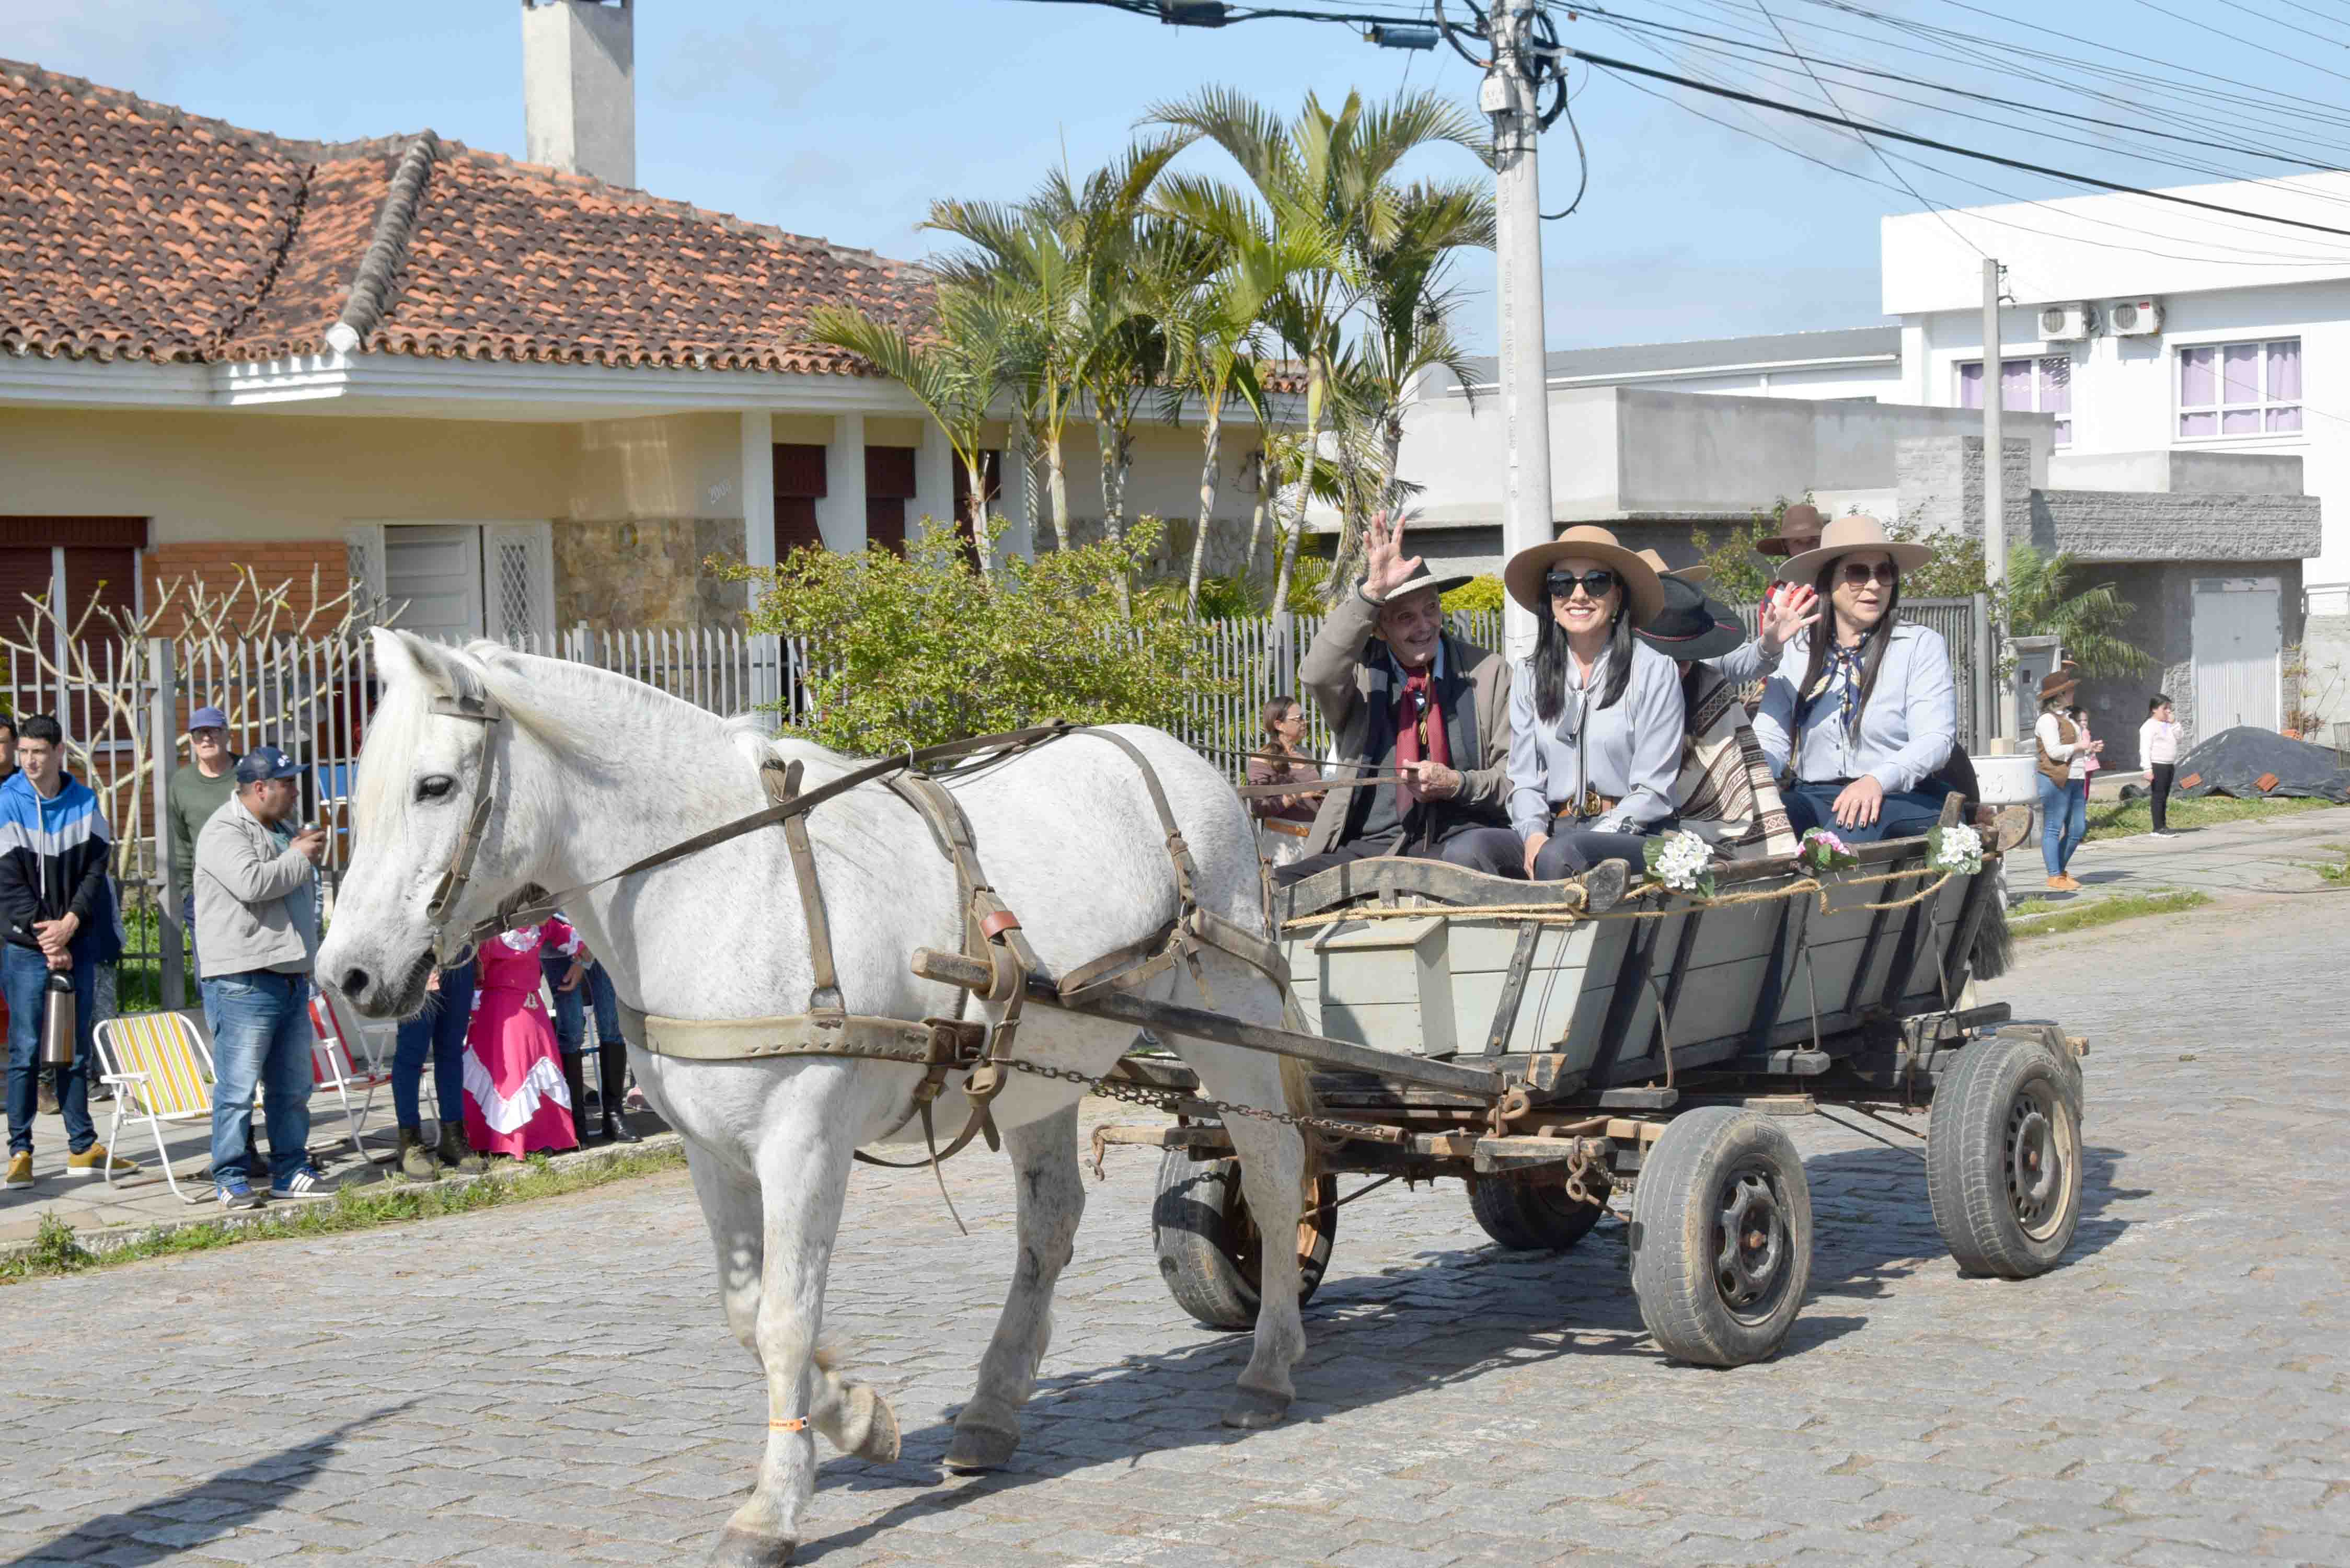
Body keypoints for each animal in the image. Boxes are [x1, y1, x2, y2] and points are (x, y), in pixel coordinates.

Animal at [317, 629, 1313, 1568]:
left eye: (436, 786)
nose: (345, 975)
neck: (721, 883)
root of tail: (1178, 756)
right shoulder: (711, 1152)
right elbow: (743, 1312)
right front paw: (859, 1418)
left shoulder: (803, 1144)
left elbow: (787, 1321)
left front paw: (772, 1511)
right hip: (1037, 1071)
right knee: (1049, 1225)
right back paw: (992, 1411)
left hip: (1237, 1026)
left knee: (1276, 1176)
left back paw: (1269, 1367)